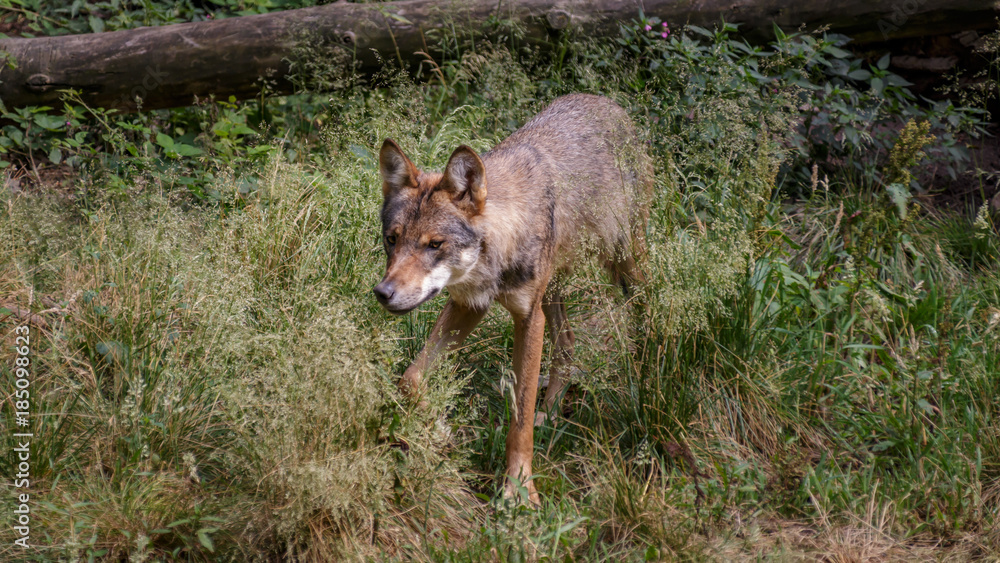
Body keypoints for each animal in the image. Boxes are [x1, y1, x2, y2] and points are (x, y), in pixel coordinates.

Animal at [373, 93, 652, 504]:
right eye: (392, 239)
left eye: (434, 244)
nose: (383, 293)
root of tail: (608, 102)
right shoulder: (470, 306)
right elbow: (410, 379)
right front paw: (441, 429)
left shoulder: (527, 318)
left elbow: (519, 420)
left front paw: (519, 489)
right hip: (553, 290)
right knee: (567, 342)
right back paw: (550, 414)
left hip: (624, 262)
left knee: (644, 305)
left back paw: (649, 367)